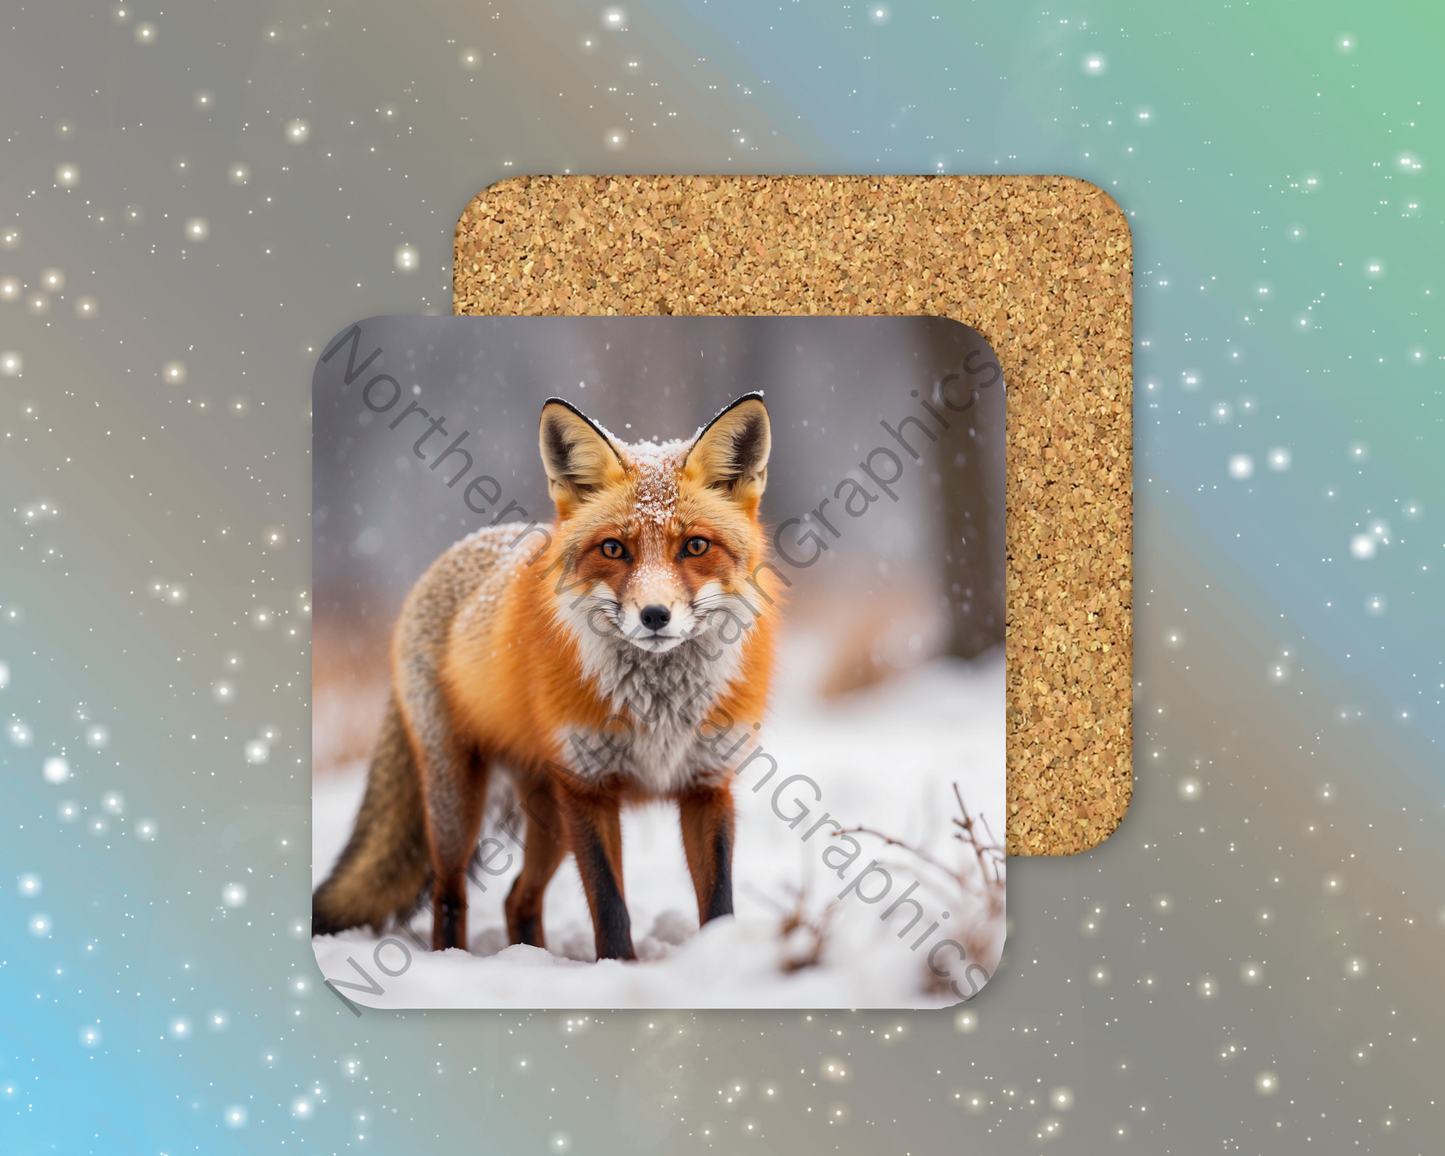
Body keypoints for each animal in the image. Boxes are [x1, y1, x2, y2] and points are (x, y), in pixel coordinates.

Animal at [312, 393, 778, 960]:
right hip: (459, 800)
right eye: (613, 548)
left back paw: (531, 958)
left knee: (518, 897)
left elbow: (718, 901)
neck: (658, 709)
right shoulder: (587, 786)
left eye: (694, 546)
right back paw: (455, 960)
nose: (654, 615)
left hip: (548, 817)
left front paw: (718, 955)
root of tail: (464, 548)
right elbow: (609, 903)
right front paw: (618, 966)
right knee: (450, 894)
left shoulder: (706, 784)